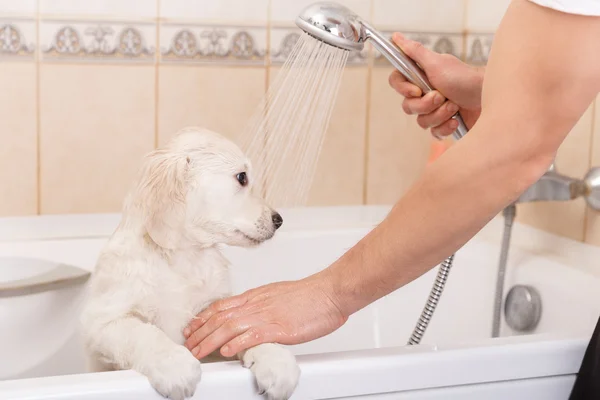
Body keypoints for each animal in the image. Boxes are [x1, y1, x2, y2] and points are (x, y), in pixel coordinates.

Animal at [81, 127, 300, 400]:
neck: (183, 259)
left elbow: (245, 327)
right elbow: (143, 333)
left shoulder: (215, 315)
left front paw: (277, 360)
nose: (278, 220)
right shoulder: (103, 322)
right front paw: (175, 365)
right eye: (242, 177)